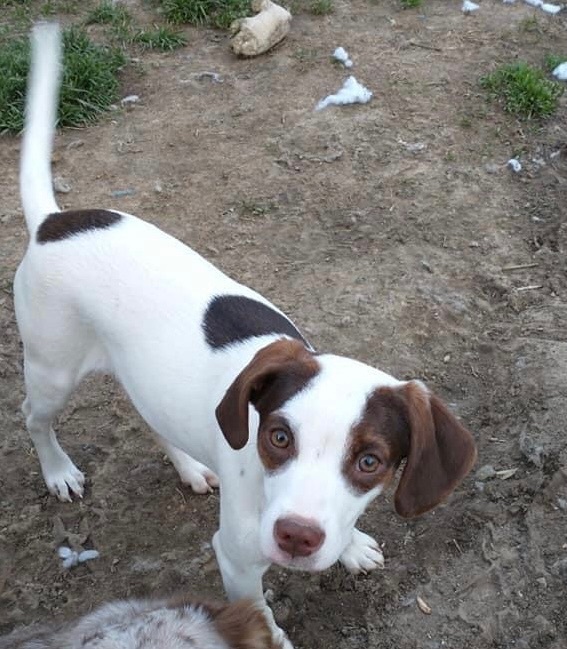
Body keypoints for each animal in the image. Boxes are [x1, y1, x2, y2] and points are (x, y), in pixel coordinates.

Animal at [13, 22, 478, 644]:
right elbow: (258, 614)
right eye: (278, 436)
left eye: (370, 462)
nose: (296, 537)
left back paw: (189, 467)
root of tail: (51, 222)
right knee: (33, 418)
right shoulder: (234, 561)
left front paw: (351, 545)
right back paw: (59, 471)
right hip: (52, 370)